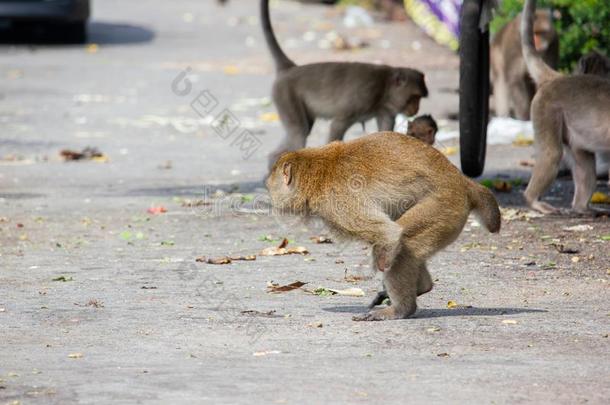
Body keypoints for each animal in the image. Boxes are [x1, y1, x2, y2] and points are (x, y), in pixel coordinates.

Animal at [260, 0, 428, 168]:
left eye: (420, 98)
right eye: (414, 97)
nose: (416, 109)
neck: (384, 88)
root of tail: (290, 69)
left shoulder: (386, 110)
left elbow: (385, 132)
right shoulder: (364, 96)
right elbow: (337, 126)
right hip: (286, 95)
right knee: (299, 133)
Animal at [266, 132, 498, 318]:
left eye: (271, 186)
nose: (270, 195)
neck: (318, 173)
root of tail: (462, 181)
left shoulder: (338, 201)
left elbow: (389, 234)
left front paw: (380, 266)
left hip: (445, 207)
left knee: (405, 245)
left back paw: (401, 310)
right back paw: (423, 287)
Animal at [516, 0, 608, 215]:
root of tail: (558, 78)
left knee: (585, 164)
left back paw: (582, 208)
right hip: (546, 111)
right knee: (551, 154)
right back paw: (533, 200)